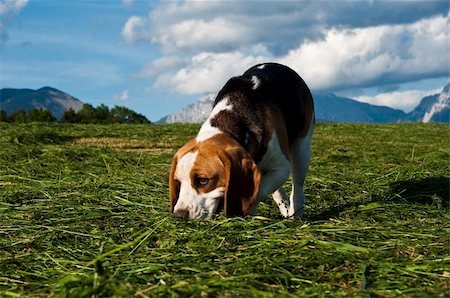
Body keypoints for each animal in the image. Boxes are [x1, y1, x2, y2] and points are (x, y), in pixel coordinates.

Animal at [168, 62, 312, 220]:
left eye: (202, 181)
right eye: (178, 182)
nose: (179, 214)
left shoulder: (281, 168)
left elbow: (259, 190)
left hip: (301, 149)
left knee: (297, 185)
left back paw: (296, 213)